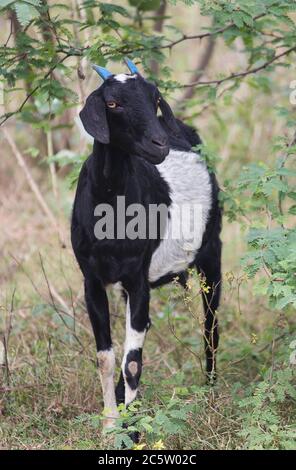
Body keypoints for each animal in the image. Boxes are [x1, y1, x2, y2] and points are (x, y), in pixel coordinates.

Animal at [70, 58, 221, 434]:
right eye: (113, 103)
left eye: (154, 98)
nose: (159, 144)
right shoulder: (92, 280)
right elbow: (106, 357)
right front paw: (111, 425)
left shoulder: (138, 277)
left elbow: (133, 363)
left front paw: (132, 430)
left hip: (212, 251)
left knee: (211, 323)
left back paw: (211, 388)